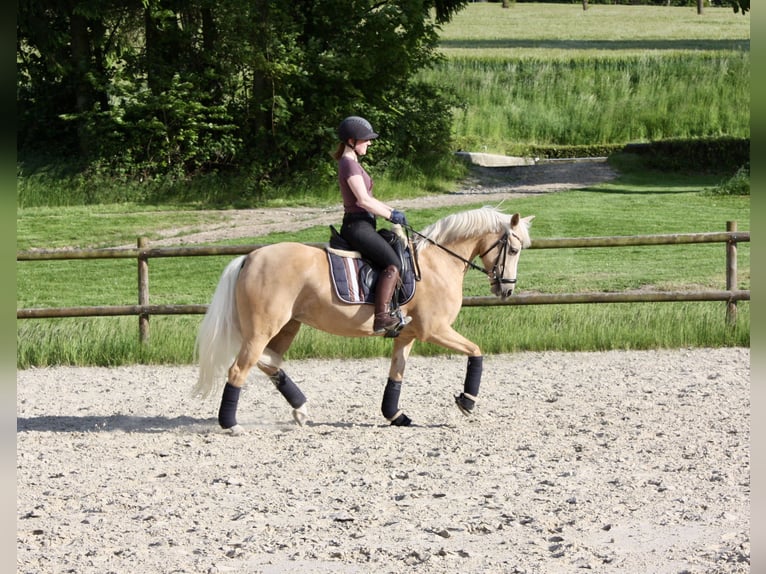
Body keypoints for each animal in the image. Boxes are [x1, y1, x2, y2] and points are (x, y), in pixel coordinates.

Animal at [193, 206, 534, 433]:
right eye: (514, 249)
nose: (506, 289)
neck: (438, 264)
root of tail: (249, 257)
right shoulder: (435, 330)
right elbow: (476, 351)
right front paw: (467, 401)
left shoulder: (407, 335)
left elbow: (396, 375)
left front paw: (395, 415)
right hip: (263, 328)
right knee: (239, 369)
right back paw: (230, 424)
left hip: (288, 325)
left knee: (268, 362)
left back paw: (301, 409)